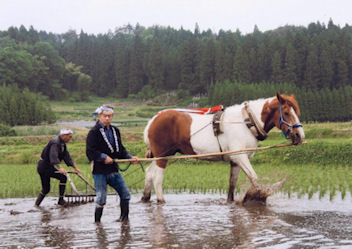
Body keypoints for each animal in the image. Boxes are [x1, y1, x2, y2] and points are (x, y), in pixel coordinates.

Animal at [142, 92, 304, 203]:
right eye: (287, 113)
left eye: (296, 112)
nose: (299, 135)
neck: (247, 122)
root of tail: (153, 119)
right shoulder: (240, 156)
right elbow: (254, 177)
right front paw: (257, 196)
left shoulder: (235, 161)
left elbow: (232, 184)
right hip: (163, 156)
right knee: (157, 178)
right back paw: (161, 200)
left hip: (161, 155)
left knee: (149, 173)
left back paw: (145, 197)